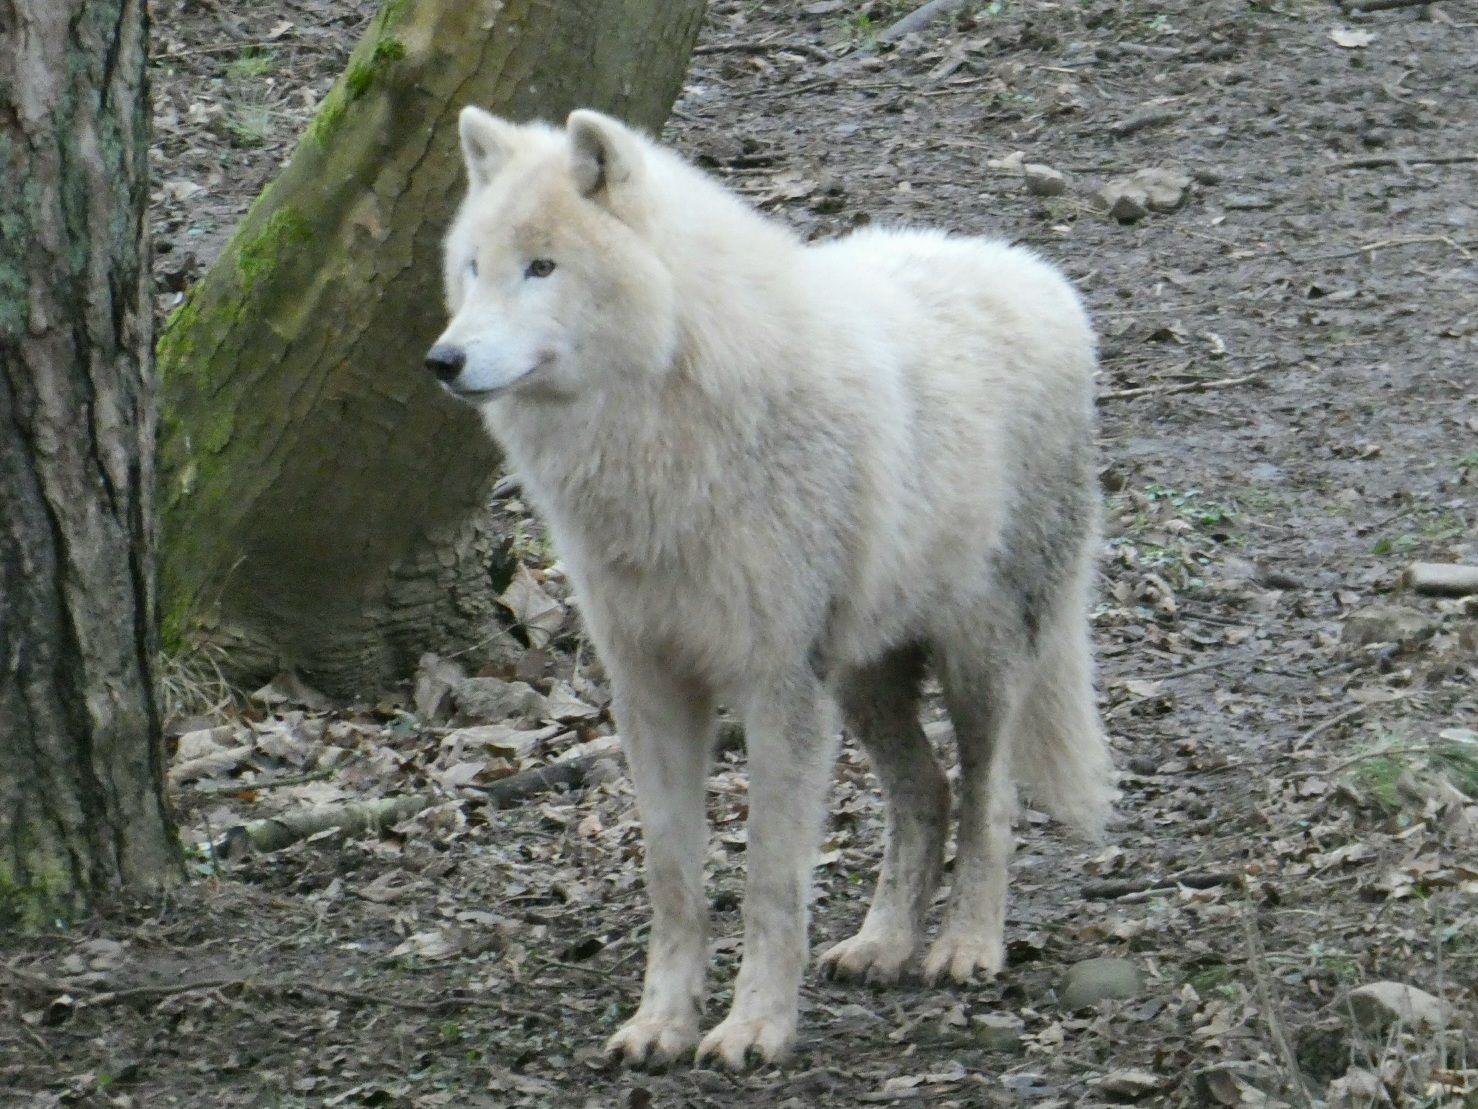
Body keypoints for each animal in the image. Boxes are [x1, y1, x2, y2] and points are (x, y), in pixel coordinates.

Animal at [425, 106, 1115, 1070]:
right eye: (473, 267)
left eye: (543, 267)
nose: (443, 360)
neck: (664, 435)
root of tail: (1041, 277)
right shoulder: (650, 686)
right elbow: (673, 876)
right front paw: (662, 1024)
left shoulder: (777, 685)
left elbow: (767, 879)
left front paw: (754, 1027)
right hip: (862, 681)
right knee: (926, 793)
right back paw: (882, 945)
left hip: (975, 664)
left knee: (991, 800)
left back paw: (965, 946)